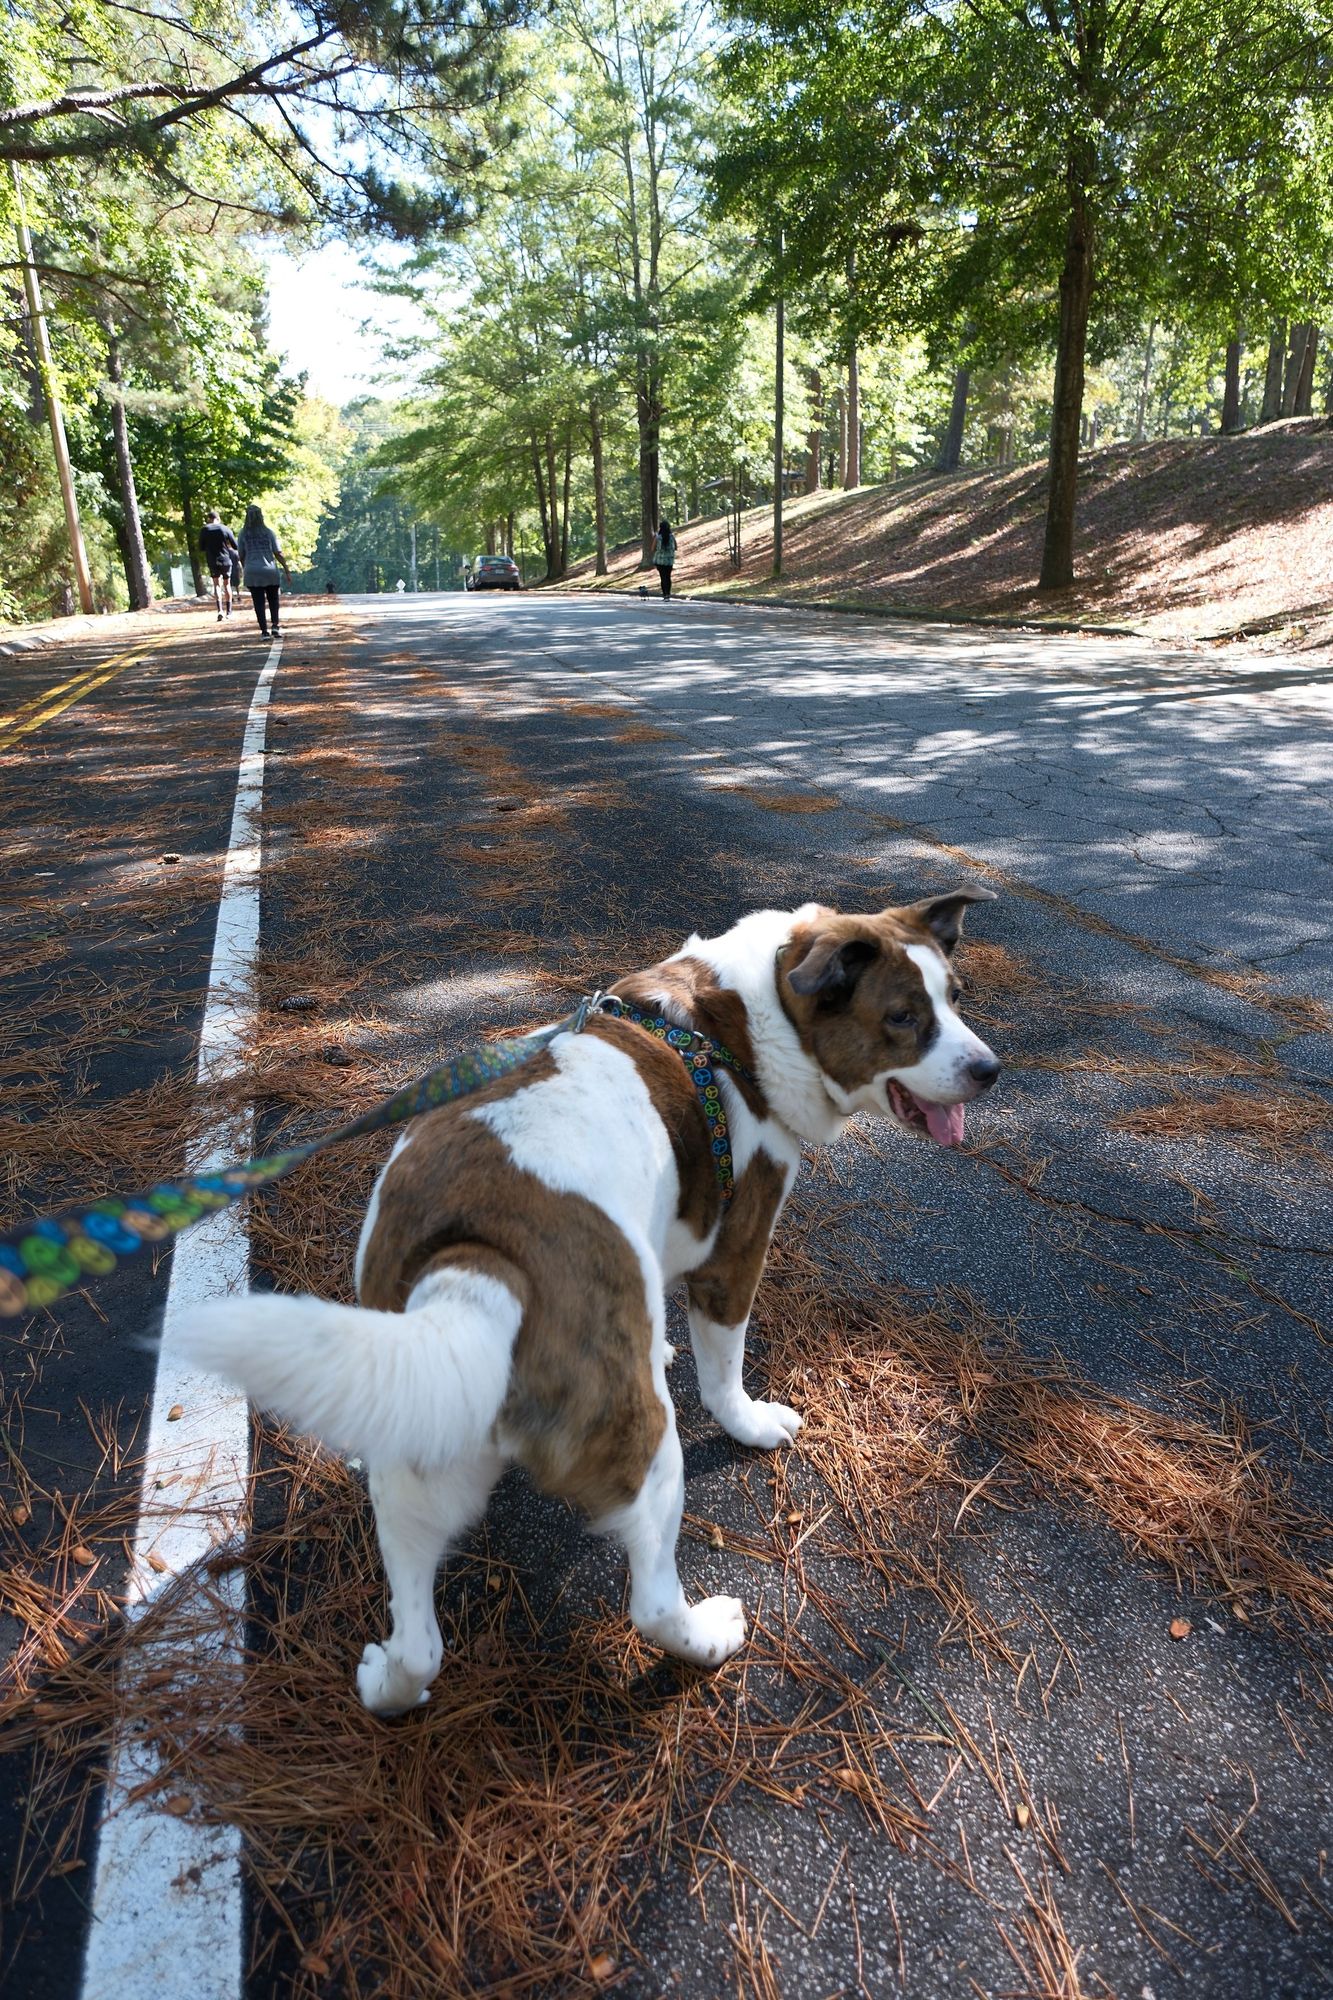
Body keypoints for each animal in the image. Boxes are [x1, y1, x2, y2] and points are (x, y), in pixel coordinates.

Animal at [184, 888, 996, 1704]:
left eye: (956, 997)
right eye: (902, 1018)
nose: (989, 1069)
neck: (755, 1010)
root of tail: (482, 1266)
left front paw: (658, 1341)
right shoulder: (733, 1257)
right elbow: (723, 1372)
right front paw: (748, 1421)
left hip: (420, 1468)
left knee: (419, 1641)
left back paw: (388, 1680)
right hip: (646, 1451)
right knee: (651, 1604)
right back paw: (708, 1635)